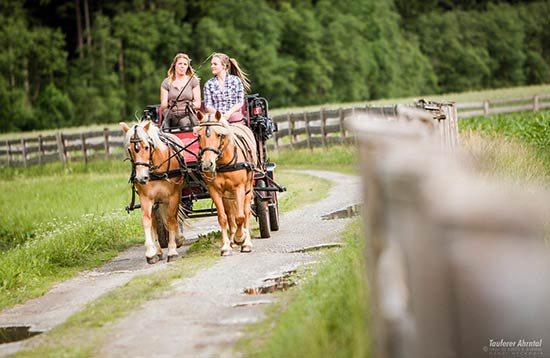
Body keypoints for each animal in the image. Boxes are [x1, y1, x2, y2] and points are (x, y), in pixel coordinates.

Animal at [119, 120, 187, 262]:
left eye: (146, 147)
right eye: (129, 149)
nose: (141, 177)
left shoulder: (174, 196)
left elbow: (172, 220)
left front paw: (172, 250)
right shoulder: (146, 198)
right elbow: (146, 221)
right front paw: (151, 252)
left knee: (171, 218)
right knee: (155, 222)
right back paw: (159, 251)